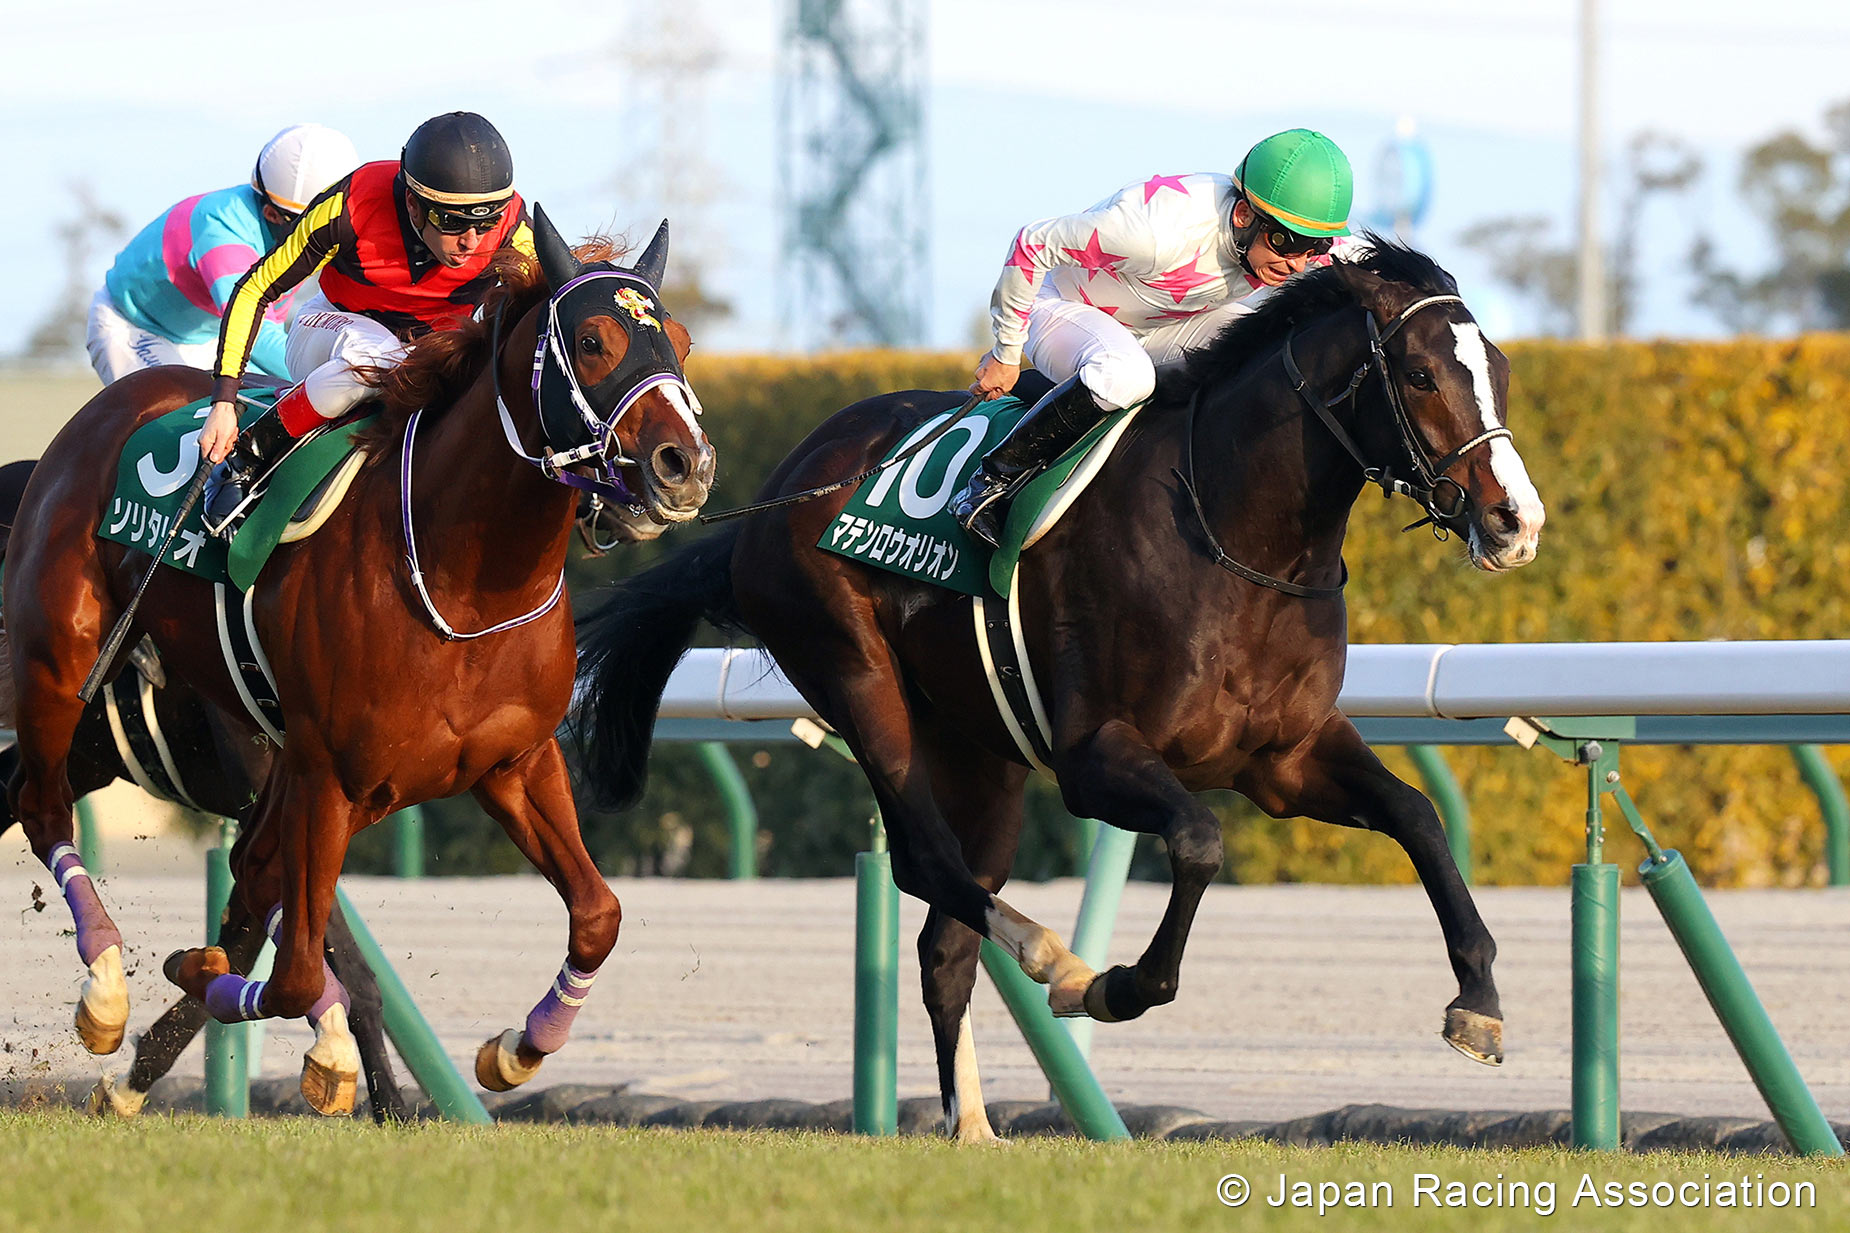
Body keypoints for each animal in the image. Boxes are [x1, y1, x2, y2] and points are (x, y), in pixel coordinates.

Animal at [6, 207, 714, 1115]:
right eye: (592, 341)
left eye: (682, 342)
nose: (685, 464)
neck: (463, 581)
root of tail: (107, 407)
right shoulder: (329, 776)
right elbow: (296, 972)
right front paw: (314, 1044)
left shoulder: (513, 761)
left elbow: (598, 913)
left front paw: (516, 1050)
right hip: (58, 664)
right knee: (44, 809)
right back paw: (104, 989)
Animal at [572, 238, 1545, 1141]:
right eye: (1420, 372)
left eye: (1498, 370)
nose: (1516, 522)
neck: (1235, 537)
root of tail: (777, 494)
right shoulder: (1095, 757)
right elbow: (1198, 840)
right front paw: (1116, 985)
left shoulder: (1287, 758)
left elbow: (1417, 815)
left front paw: (1479, 1001)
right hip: (855, 671)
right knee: (926, 859)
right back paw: (1056, 963)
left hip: (981, 750)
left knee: (945, 938)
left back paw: (973, 1123)